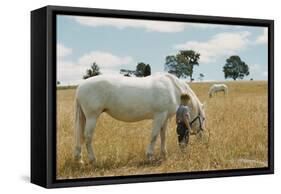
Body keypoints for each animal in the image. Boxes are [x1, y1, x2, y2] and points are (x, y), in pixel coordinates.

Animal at [74, 73, 206, 164]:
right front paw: (150, 156)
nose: (201, 137)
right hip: (92, 117)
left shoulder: (164, 118)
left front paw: (164, 154)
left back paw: (79, 160)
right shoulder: (159, 116)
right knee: (87, 137)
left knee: (80, 136)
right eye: (203, 118)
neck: (172, 88)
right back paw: (93, 160)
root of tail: (80, 86)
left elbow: (163, 136)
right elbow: (154, 136)